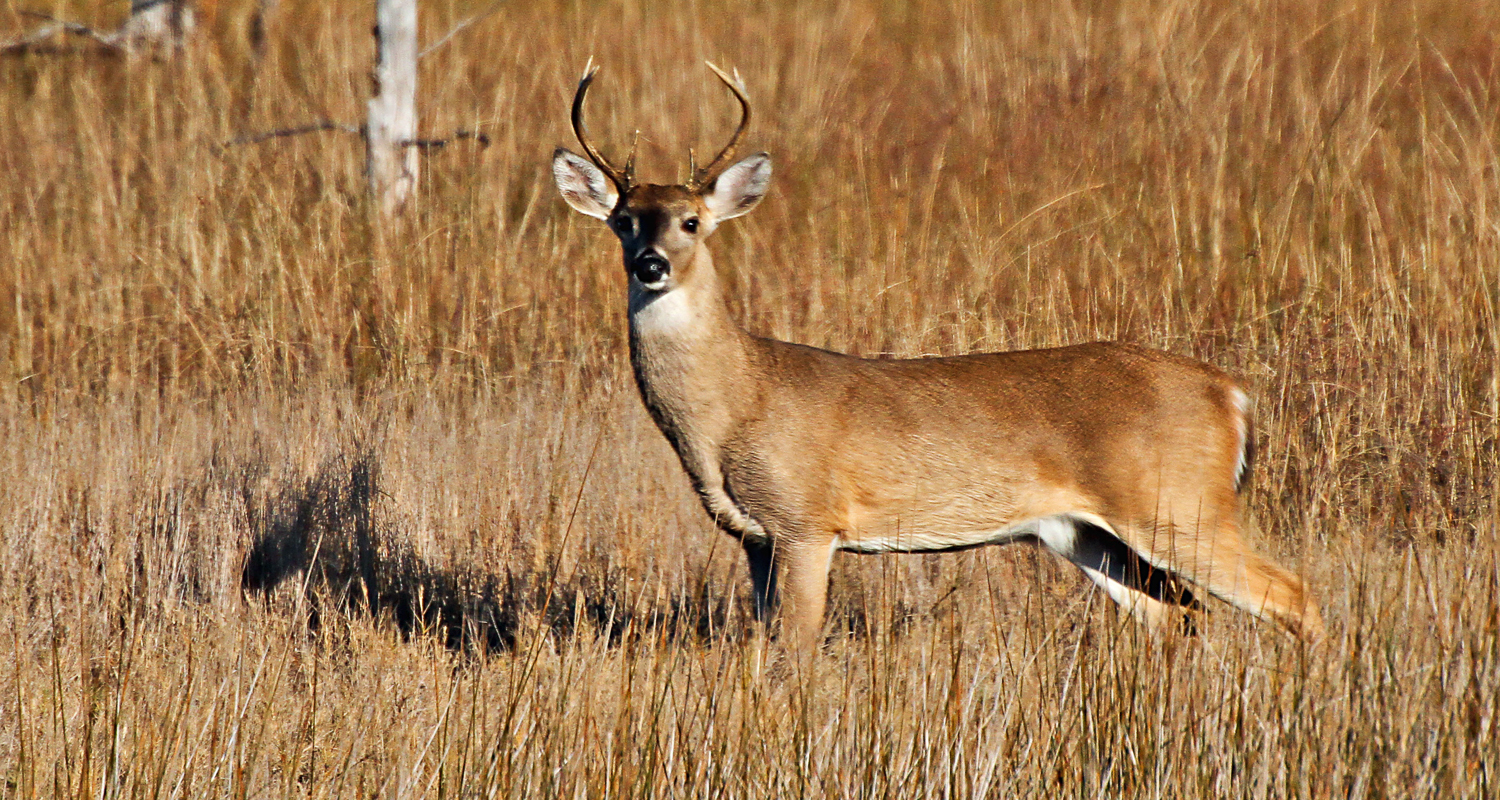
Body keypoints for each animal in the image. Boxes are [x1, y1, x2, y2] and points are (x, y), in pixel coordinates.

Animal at [551, 64, 1324, 653]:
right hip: (1086, 533)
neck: (738, 401)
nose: (651, 264)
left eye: (691, 221)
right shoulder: (756, 538)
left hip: (1181, 502)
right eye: (623, 220)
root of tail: (1232, 395)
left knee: (1293, 595)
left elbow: (797, 653)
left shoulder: (807, 521)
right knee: (1179, 614)